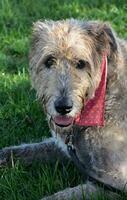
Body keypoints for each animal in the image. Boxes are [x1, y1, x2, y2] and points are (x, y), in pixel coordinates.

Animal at [0, 19, 127, 200]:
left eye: (81, 63)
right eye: (49, 61)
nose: (63, 107)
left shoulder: (115, 181)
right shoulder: (64, 147)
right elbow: (20, 151)